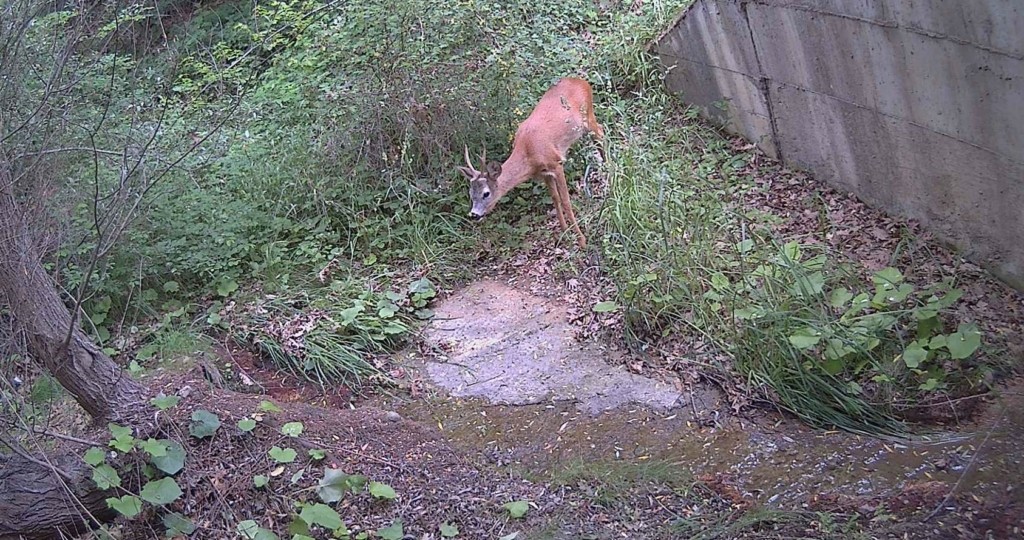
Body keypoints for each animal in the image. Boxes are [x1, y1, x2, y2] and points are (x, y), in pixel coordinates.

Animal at [458, 77, 604, 249]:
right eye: (471, 193)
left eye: (486, 193)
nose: (474, 214)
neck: (528, 153)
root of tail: (582, 81)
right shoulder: (544, 173)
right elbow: (555, 198)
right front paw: (564, 233)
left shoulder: (556, 163)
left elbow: (566, 201)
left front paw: (581, 240)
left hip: (587, 115)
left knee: (601, 132)